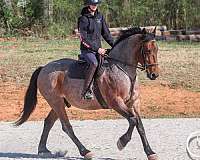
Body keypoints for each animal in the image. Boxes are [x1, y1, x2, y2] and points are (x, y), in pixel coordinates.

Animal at [14, 26, 159, 159]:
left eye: (157, 50)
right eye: (147, 50)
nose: (154, 75)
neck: (122, 69)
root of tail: (44, 68)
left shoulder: (134, 103)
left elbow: (140, 125)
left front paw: (150, 152)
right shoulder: (116, 102)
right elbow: (133, 120)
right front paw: (121, 142)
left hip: (59, 103)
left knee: (48, 122)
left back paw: (43, 150)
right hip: (56, 102)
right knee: (66, 126)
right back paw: (85, 151)